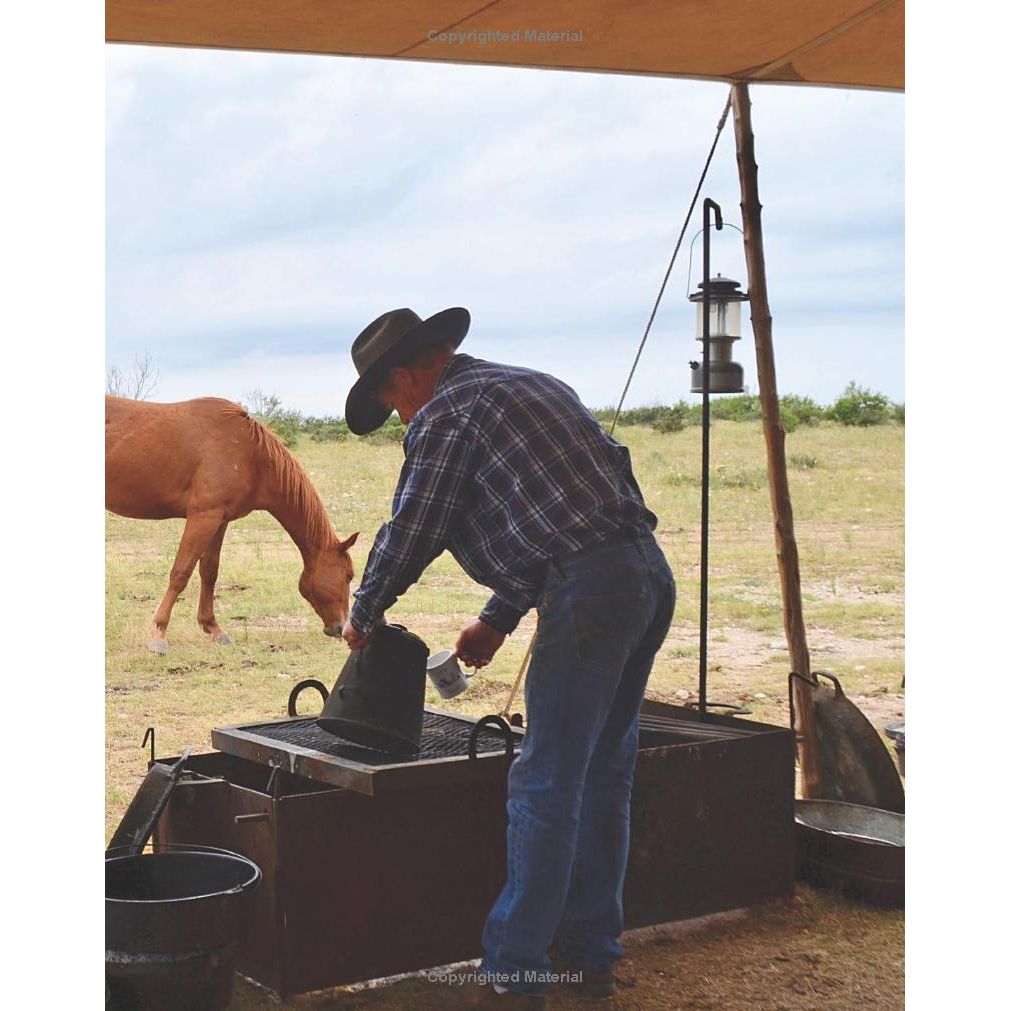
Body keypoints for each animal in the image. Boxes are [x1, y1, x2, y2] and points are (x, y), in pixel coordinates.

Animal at [105, 394, 357, 655]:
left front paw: (213, 628)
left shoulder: (220, 521)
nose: (341, 627)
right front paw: (158, 633)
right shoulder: (203, 517)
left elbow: (209, 572)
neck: (251, 454)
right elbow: (181, 573)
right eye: (349, 576)